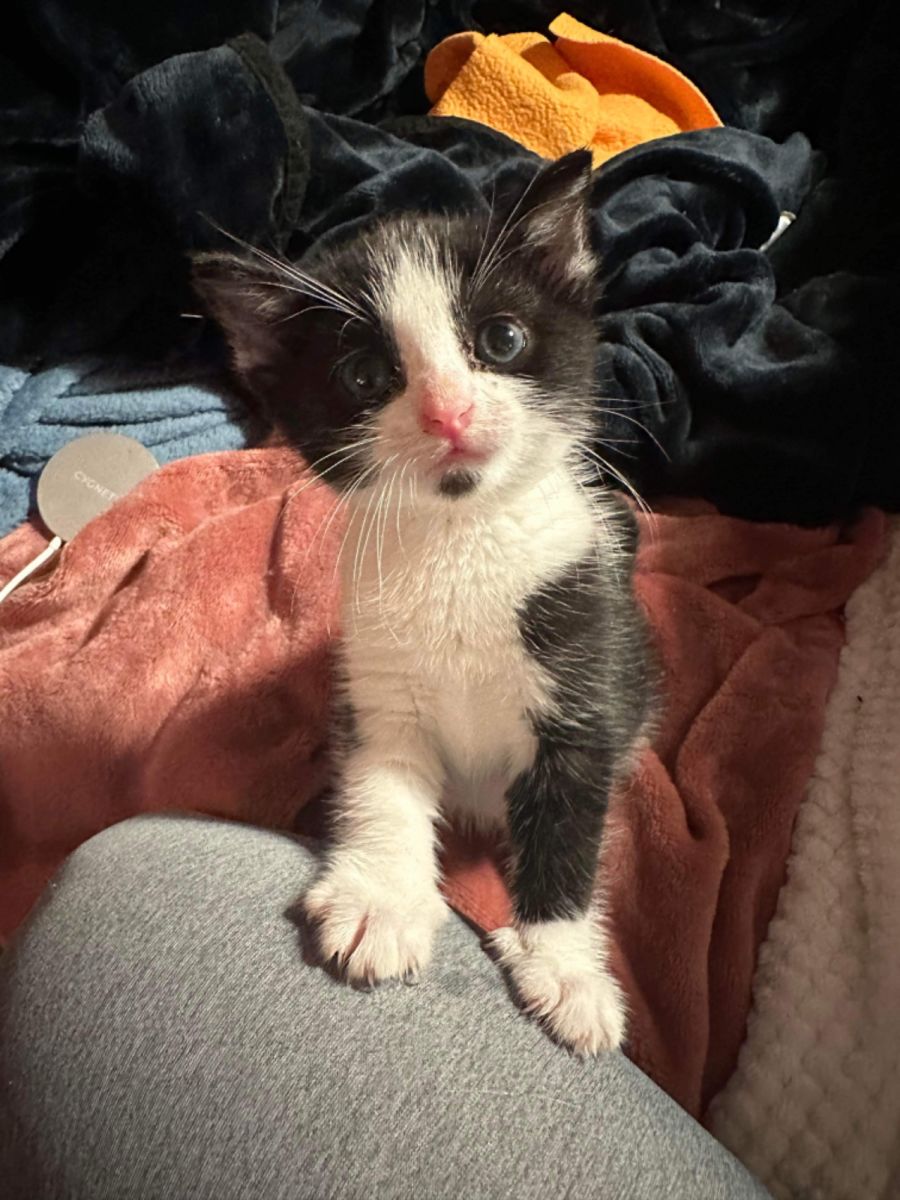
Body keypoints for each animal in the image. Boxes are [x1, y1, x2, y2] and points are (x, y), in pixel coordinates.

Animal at [193, 150, 654, 1054]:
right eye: (366, 376)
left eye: (501, 340)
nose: (449, 411)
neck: (459, 539)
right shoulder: (376, 682)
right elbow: (382, 781)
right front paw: (381, 899)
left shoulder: (586, 674)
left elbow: (570, 834)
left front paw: (567, 970)